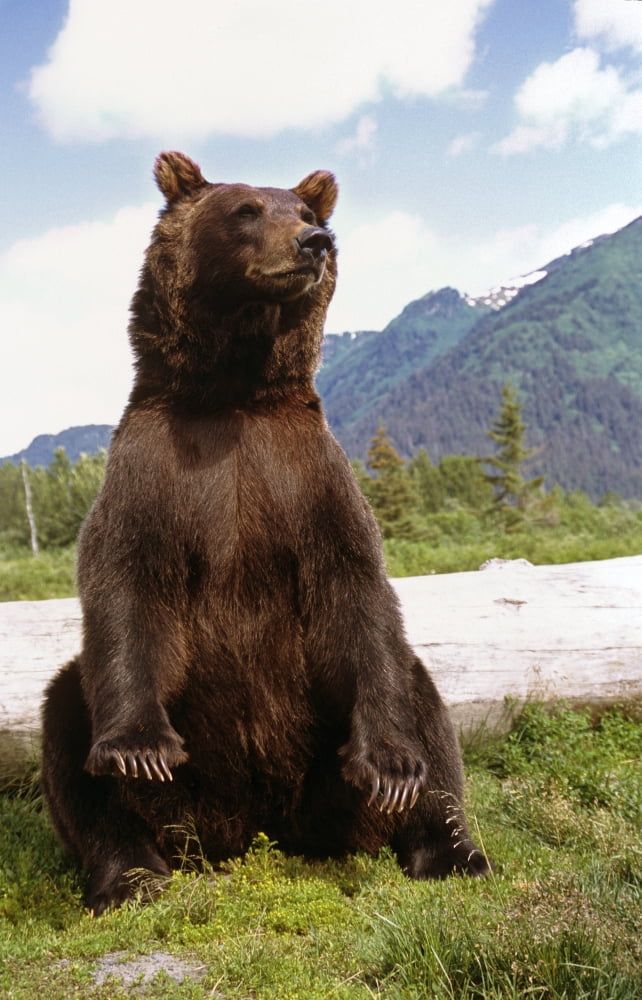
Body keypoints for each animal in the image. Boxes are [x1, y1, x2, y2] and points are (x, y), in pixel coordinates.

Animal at [41, 151, 490, 915]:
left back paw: (452, 849)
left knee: (424, 701)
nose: (315, 243)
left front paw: (393, 767)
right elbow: (126, 584)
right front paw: (139, 748)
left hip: (327, 772)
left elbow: (356, 591)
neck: (235, 393)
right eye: (246, 210)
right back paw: (129, 875)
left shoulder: (308, 480)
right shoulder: (154, 474)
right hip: (181, 802)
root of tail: (258, 826)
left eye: (306, 212)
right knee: (70, 726)